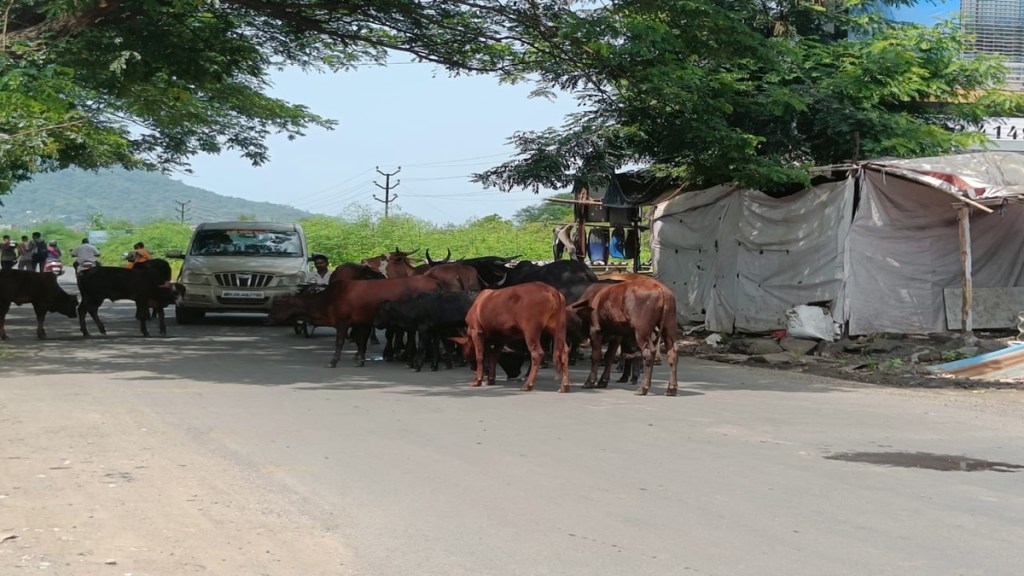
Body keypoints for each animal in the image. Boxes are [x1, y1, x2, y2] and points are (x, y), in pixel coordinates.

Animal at [268, 274, 440, 364]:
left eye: (278, 304)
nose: (267, 319)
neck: (329, 299)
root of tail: (435, 282)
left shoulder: (343, 322)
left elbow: (340, 341)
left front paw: (334, 360)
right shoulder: (361, 322)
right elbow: (360, 340)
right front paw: (360, 358)